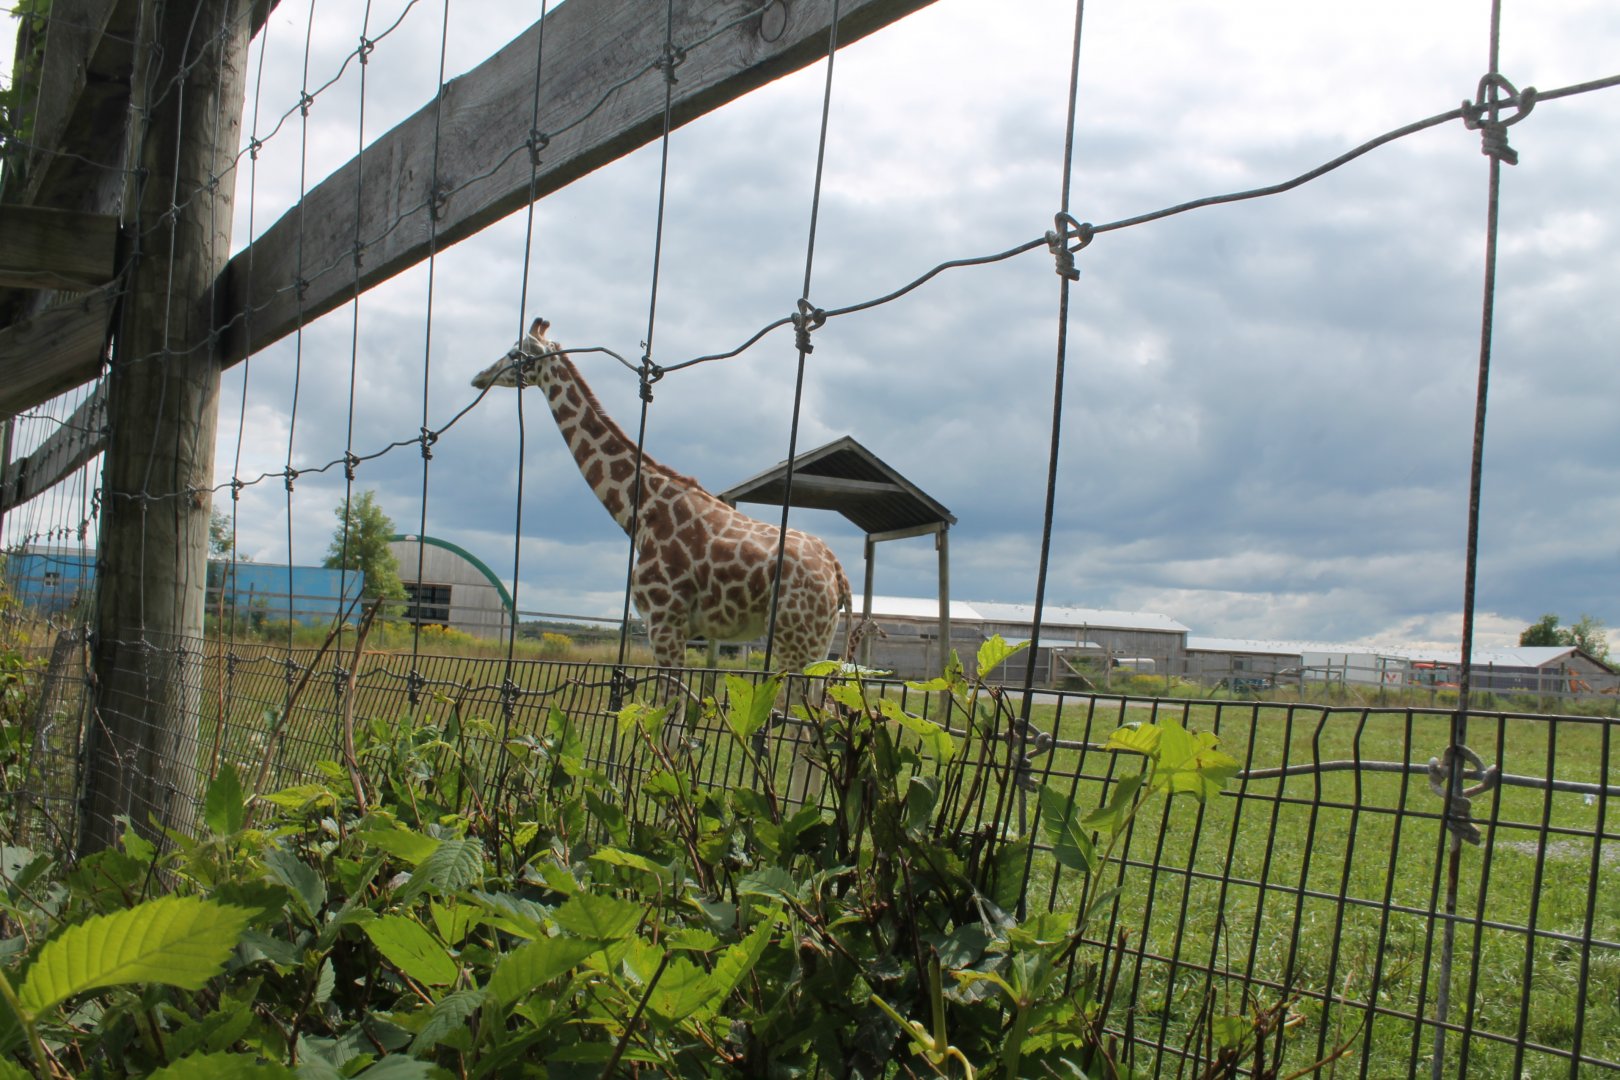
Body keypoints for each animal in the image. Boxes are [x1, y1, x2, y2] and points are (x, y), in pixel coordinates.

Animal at [472, 316, 852, 675]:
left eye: (514, 353)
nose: (479, 377)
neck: (641, 510)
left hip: (796, 640)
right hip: (818, 644)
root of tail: (837, 573)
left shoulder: (664, 618)